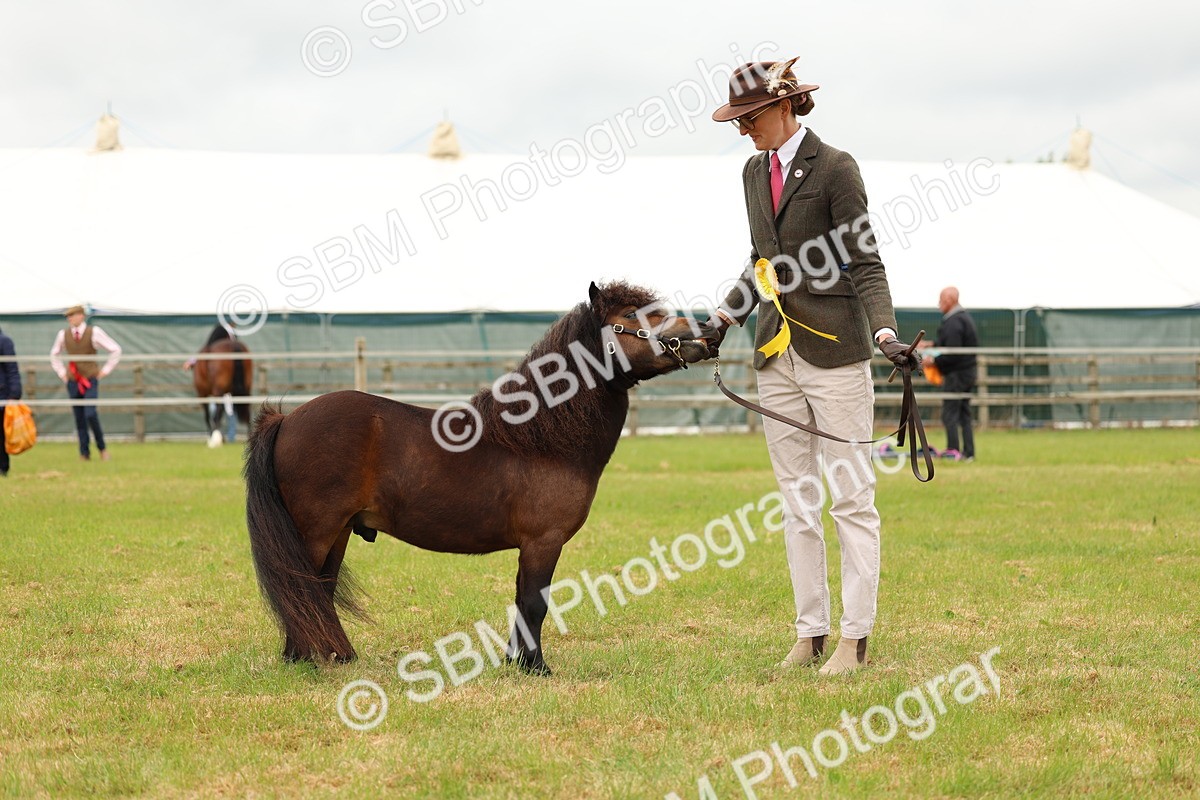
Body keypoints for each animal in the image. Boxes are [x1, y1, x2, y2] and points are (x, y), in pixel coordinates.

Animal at [243, 281, 714, 674]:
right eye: (632, 314)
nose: (704, 330)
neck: (541, 438)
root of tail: (287, 419)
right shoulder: (543, 541)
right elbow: (534, 604)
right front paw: (536, 669)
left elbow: (523, 602)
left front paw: (516, 663)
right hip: (317, 531)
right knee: (299, 587)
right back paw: (305, 659)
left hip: (338, 532)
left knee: (316, 590)